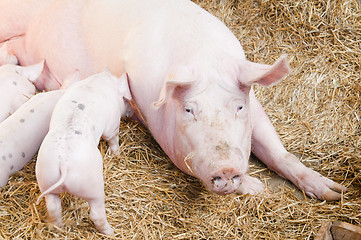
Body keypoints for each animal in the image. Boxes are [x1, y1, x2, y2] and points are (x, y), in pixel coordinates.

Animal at [1, 0, 344, 200]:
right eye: (189, 109)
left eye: (238, 106)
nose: (226, 168)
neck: (203, 56)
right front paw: (259, 189)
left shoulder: (255, 104)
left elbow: (277, 151)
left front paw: (334, 193)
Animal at [35, 71, 131, 236]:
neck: (95, 82)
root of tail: (63, 162)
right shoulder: (111, 125)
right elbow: (113, 138)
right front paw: (116, 153)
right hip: (92, 186)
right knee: (96, 214)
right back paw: (111, 232)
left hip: (45, 178)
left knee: (53, 207)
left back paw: (58, 227)